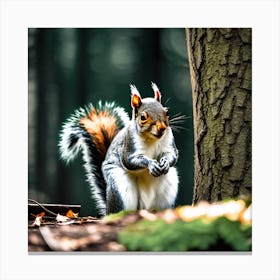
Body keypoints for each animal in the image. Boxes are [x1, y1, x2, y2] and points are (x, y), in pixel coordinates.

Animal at [59, 82, 179, 215]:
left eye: (166, 112)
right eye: (143, 117)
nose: (162, 128)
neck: (151, 138)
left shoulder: (168, 141)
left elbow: (172, 155)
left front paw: (165, 162)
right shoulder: (128, 144)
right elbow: (129, 161)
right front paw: (151, 164)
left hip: (168, 188)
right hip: (119, 185)